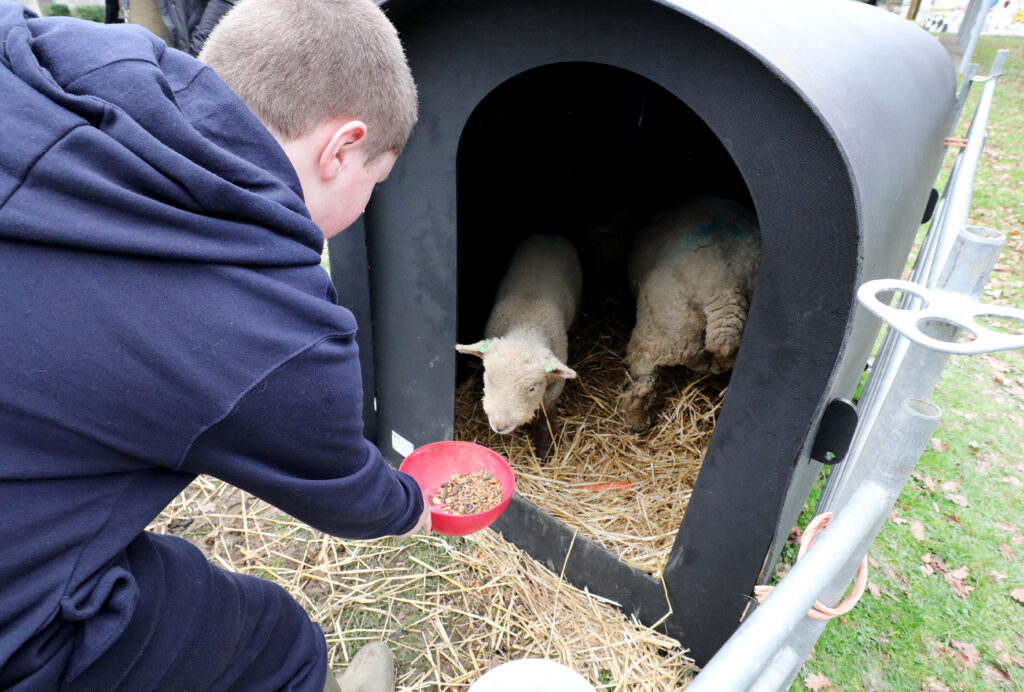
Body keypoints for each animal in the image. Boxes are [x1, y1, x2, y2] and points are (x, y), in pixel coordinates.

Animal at [456, 234, 583, 458]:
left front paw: (546, 447)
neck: (526, 326)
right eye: (489, 379)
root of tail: (548, 234)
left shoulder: (555, 385)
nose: (500, 426)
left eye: (532, 388)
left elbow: (545, 412)